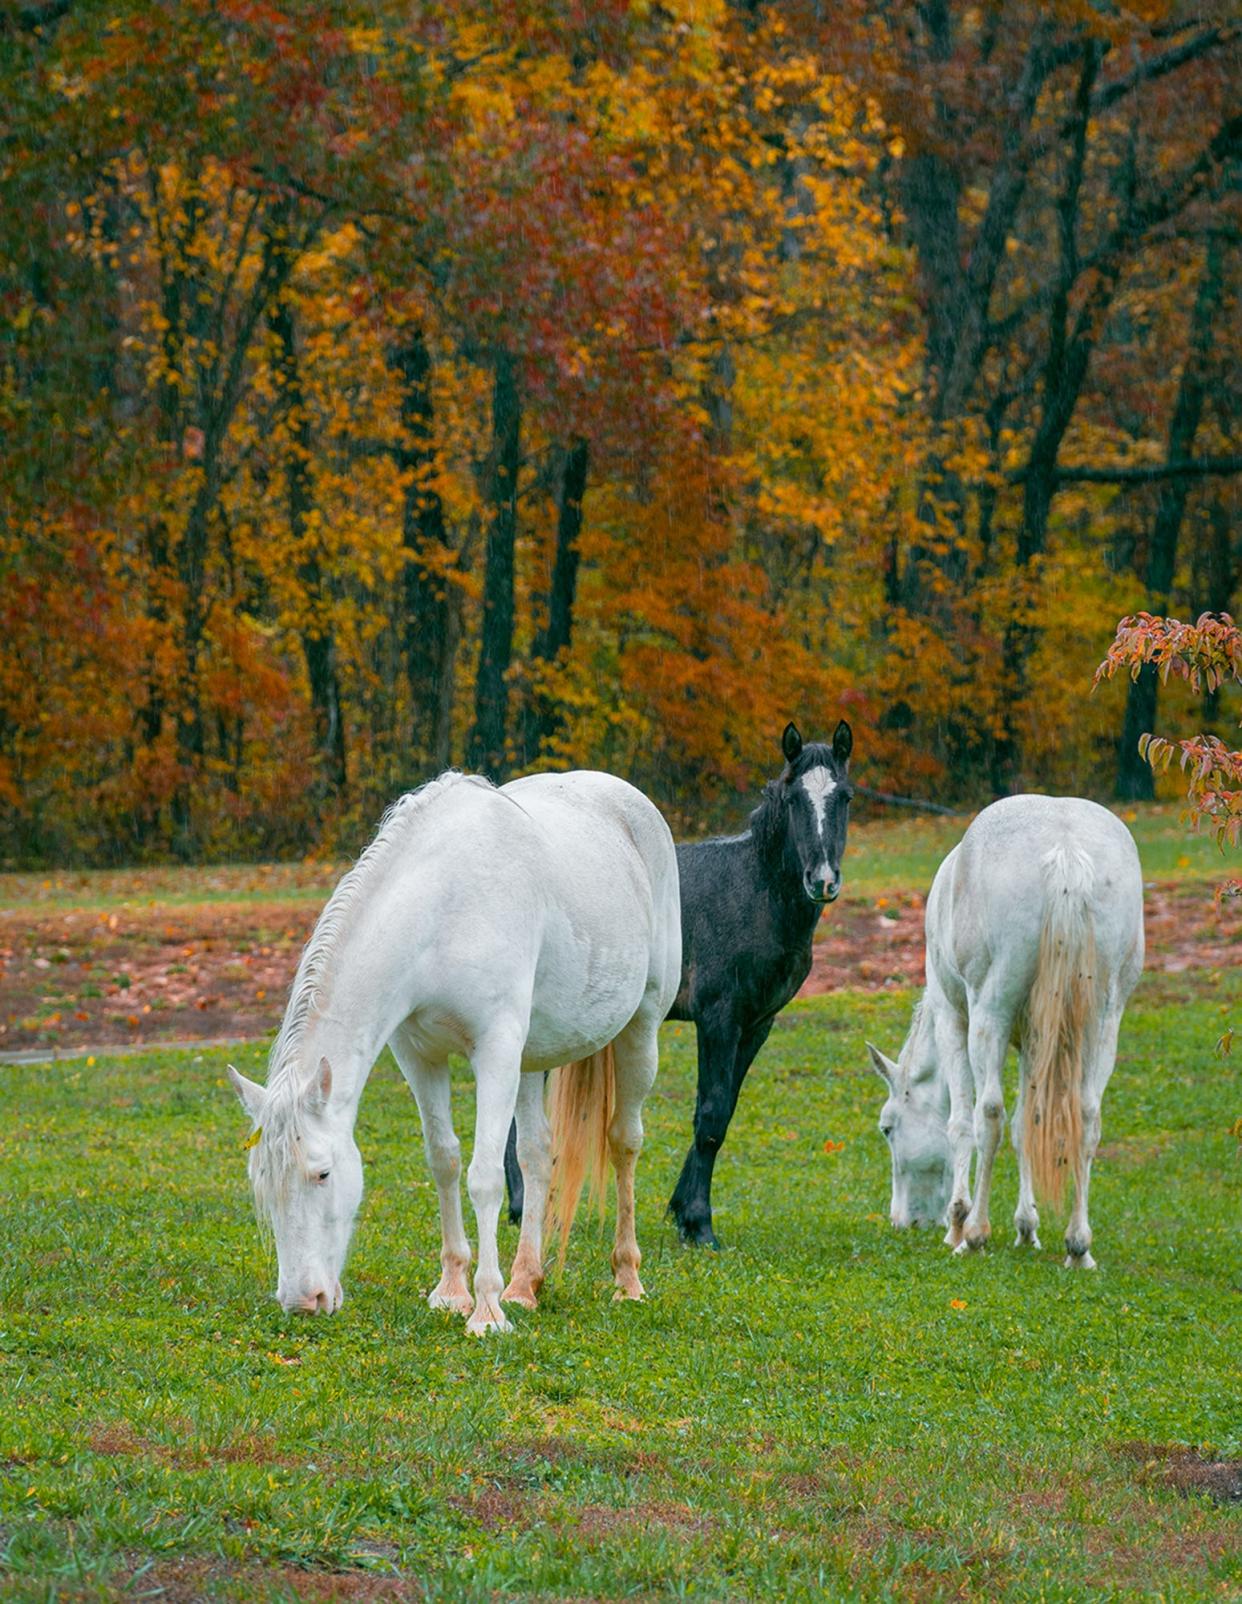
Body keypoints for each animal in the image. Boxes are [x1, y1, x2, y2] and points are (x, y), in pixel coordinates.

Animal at [227, 769, 677, 1334]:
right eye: (260, 1181)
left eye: (323, 1173)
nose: (301, 1301)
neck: (443, 908)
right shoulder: (419, 1056)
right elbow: (444, 1160)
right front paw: (452, 1291)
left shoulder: (496, 1051)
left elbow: (484, 1176)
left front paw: (486, 1312)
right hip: (531, 1060)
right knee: (537, 1154)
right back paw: (524, 1284)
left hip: (641, 1029)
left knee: (624, 1142)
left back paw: (627, 1280)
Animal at [500, 721, 853, 1244]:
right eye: (794, 799)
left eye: (844, 797)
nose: (823, 880)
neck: (753, 889)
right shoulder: (719, 1018)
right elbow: (710, 1113)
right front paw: (699, 1224)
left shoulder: (757, 1024)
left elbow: (725, 1109)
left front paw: (684, 1209)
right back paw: (523, 1204)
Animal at [872, 795, 1142, 1270]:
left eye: (887, 1128)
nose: (902, 1220)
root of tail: (1066, 849)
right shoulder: (1033, 1040)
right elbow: (1024, 1126)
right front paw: (1027, 1227)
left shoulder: (952, 1018)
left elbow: (963, 1123)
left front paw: (957, 1222)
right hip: (1103, 1020)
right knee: (1087, 1116)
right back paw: (1078, 1246)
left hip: (989, 1013)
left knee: (989, 1114)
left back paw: (974, 1233)